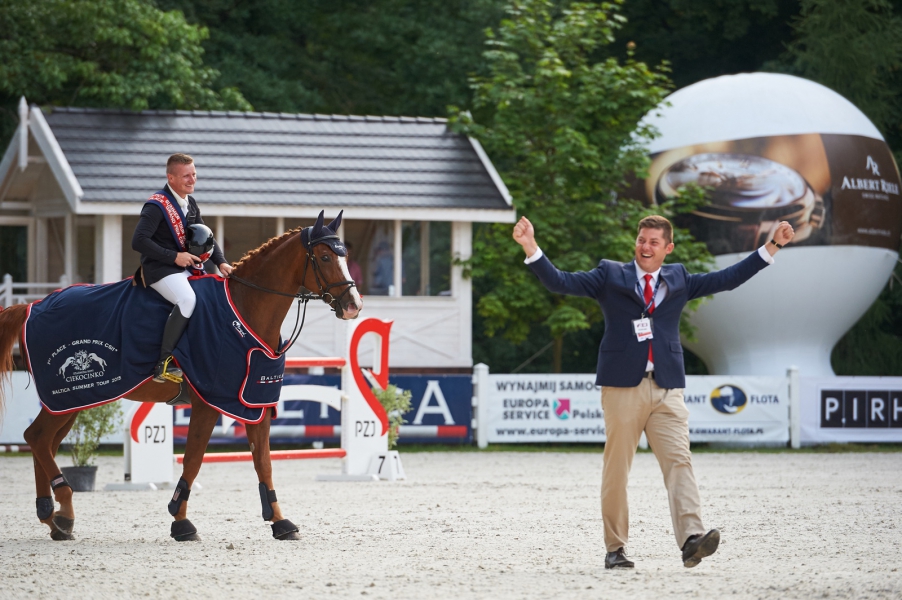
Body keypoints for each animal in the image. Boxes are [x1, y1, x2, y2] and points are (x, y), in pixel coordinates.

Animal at [0, 210, 362, 541]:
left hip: (70, 401)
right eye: (325, 257)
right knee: (37, 438)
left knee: (42, 441)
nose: (354, 306)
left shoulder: (254, 401)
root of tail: (32, 306)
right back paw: (63, 510)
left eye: (345, 256)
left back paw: (52, 516)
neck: (244, 309)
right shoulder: (209, 402)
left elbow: (264, 462)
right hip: (68, 396)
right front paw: (182, 522)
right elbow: (193, 460)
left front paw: (280, 521)